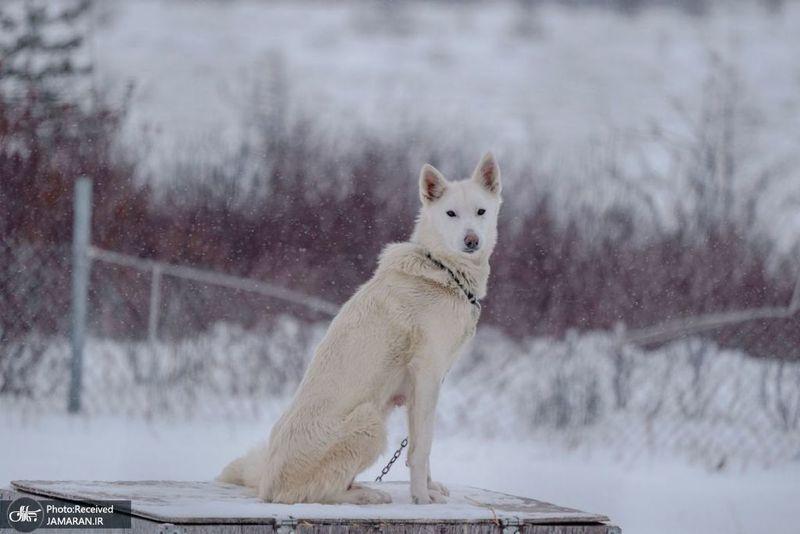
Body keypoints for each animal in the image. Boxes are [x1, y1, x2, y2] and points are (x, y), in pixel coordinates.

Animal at [219, 152, 504, 506]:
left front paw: (429, 488)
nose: (471, 241)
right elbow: (422, 448)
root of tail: (266, 485)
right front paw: (421, 499)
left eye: (481, 212)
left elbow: (418, 446)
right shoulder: (427, 375)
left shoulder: (422, 389)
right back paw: (366, 495)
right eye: (451, 214)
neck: (444, 272)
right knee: (317, 493)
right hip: (370, 422)